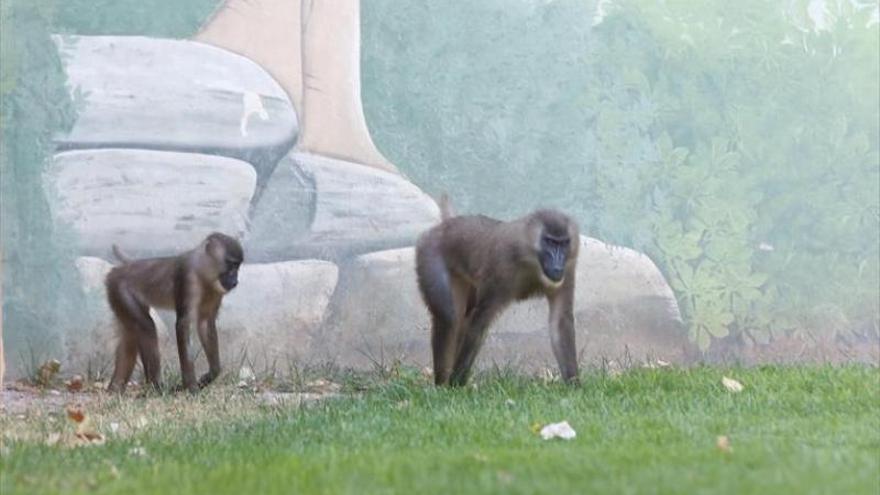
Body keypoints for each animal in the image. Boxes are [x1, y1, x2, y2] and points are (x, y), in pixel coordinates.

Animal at [107, 233, 244, 396]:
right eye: (230, 264)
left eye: (237, 266)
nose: (235, 280)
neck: (204, 273)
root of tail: (116, 271)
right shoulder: (189, 279)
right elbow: (183, 324)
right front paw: (191, 388)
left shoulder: (216, 293)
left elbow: (205, 324)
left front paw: (210, 376)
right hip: (121, 290)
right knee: (146, 327)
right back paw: (155, 387)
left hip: (120, 298)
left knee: (130, 338)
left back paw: (114, 389)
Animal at [416, 198, 580, 388]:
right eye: (550, 242)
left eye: (564, 243)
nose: (558, 263)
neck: (531, 257)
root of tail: (437, 230)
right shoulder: (501, 269)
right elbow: (478, 325)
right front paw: (456, 385)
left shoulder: (569, 267)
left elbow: (559, 322)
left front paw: (575, 386)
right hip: (430, 256)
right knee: (448, 319)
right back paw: (441, 385)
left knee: (462, 318)